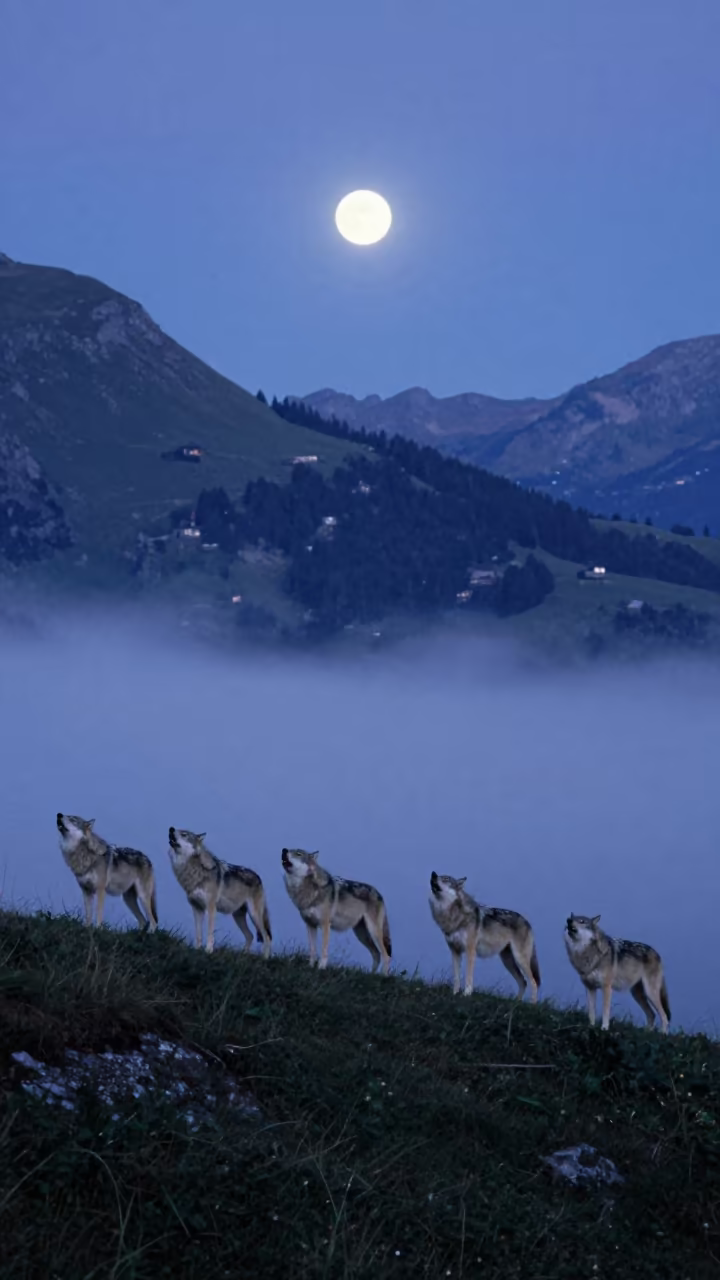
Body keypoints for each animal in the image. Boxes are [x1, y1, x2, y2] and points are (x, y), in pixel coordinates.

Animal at [168, 827, 272, 956]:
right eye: (176, 830)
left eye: (184, 834)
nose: (171, 829)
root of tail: (258, 877)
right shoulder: (197, 908)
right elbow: (198, 933)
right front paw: (197, 949)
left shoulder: (211, 908)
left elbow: (209, 933)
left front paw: (208, 951)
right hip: (237, 916)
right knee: (250, 936)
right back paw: (244, 955)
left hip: (254, 915)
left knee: (267, 937)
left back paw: (265, 958)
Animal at [429, 872, 540, 1001]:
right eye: (439, 876)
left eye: (445, 879)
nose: (433, 874)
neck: (452, 915)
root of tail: (527, 922)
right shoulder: (455, 951)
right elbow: (456, 977)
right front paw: (455, 994)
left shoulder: (470, 951)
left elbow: (468, 976)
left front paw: (466, 994)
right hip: (507, 961)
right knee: (523, 982)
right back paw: (517, 1002)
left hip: (520, 959)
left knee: (533, 982)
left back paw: (532, 1003)